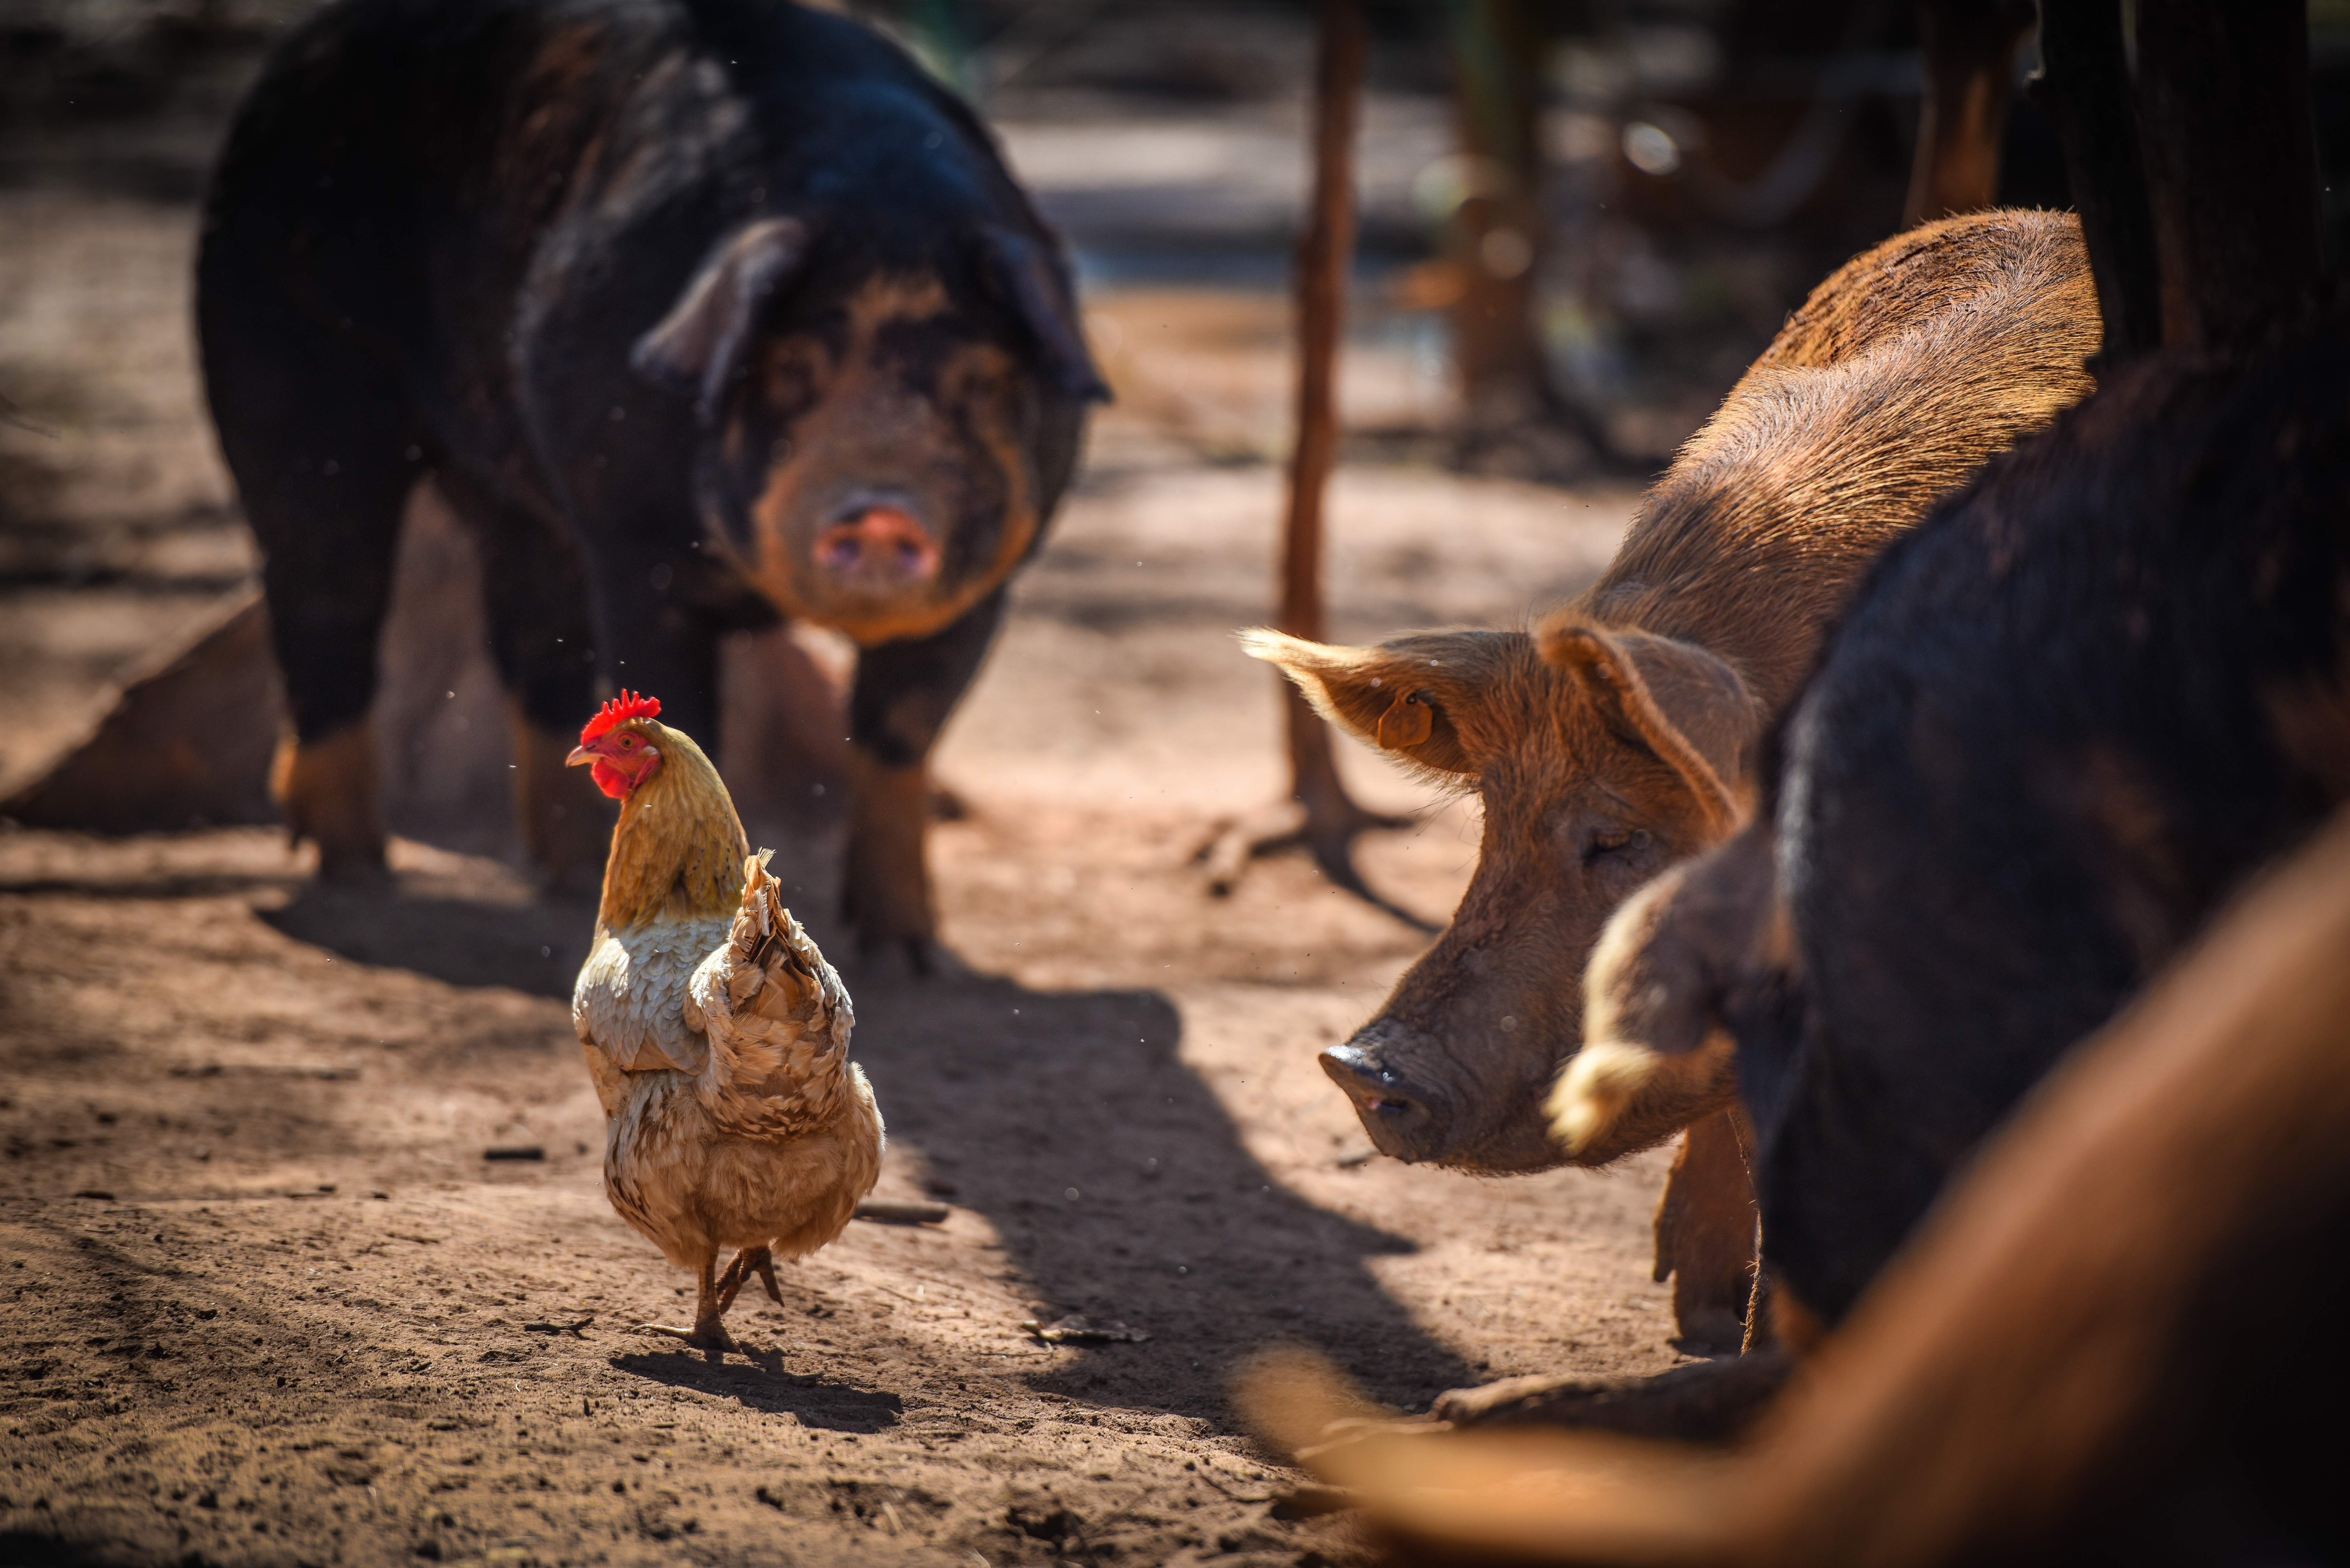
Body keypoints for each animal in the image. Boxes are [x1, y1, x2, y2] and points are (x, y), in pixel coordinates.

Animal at [197, 0, 1104, 969]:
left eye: (980, 382)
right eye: (793, 371)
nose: (883, 509)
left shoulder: (989, 585)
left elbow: (900, 735)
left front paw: (908, 956)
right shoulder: (635, 550)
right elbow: (687, 708)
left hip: (514, 495)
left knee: (531, 639)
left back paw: (560, 873)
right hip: (285, 369)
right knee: (326, 591)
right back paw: (356, 867)